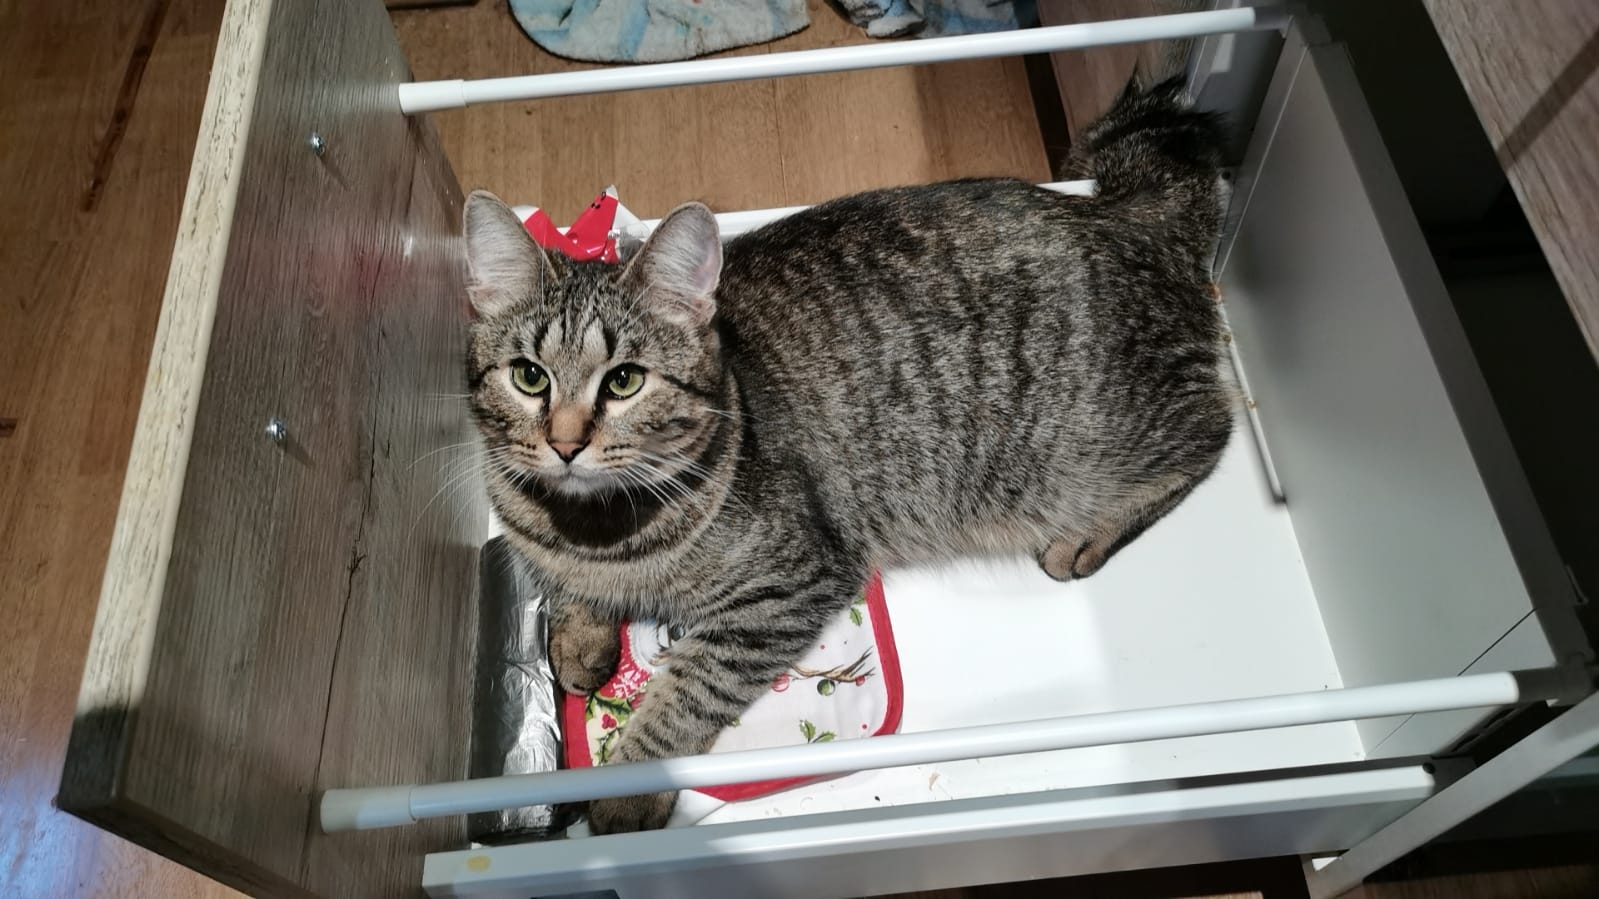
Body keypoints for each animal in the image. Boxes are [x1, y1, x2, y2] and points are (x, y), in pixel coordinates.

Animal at [462, 77, 1232, 833]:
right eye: (529, 376)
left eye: (624, 380)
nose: (565, 443)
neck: (592, 528)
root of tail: (1123, 213)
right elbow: (563, 587)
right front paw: (579, 636)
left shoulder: (788, 588)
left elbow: (690, 687)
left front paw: (630, 786)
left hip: (1082, 446)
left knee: (1213, 427)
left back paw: (1085, 537)